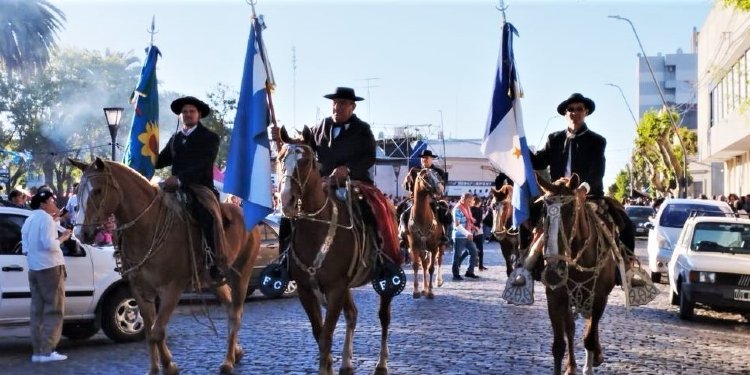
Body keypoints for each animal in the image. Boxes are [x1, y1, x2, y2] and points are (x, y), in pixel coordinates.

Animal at [71, 159, 262, 375]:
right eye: (77, 190)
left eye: (97, 191)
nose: (81, 233)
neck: (147, 226)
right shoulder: (140, 290)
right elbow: (150, 330)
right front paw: (156, 367)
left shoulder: (172, 288)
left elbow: (157, 331)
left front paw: (168, 366)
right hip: (212, 279)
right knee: (230, 307)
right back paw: (236, 352)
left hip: (241, 274)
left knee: (235, 313)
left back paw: (228, 361)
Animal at [278, 135, 396, 375]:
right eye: (280, 158)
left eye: (306, 161)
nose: (286, 199)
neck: (316, 229)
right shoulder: (306, 290)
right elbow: (319, 333)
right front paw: (330, 365)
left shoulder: (335, 289)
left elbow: (326, 335)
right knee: (352, 314)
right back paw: (346, 362)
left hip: (383, 283)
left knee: (384, 318)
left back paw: (381, 363)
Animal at [406, 167, 446, 300]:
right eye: (426, 177)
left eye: (437, 175)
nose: (440, 189)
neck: (422, 217)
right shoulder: (414, 246)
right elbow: (415, 266)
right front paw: (416, 291)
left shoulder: (433, 247)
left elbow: (431, 268)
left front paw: (430, 292)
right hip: (422, 249)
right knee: (423, 264)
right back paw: (423, 288)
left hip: (440, 245)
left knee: (439, 260)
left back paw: (438, 281)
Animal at [536, 175, 620, 374]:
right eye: (543, 212)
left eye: (571, 212)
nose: (553, 270)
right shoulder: (555, 298)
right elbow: (559, 346)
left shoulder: (599, 298)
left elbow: (589, 337)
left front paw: (589, 364)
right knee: (571, 329)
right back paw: (572, 366)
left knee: (590, 327)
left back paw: (595, 357)